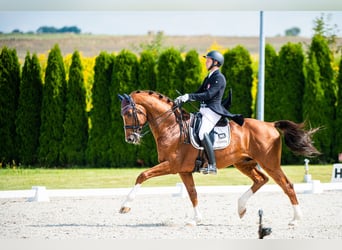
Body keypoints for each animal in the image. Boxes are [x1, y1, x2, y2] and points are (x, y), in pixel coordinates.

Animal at [118, 91, 320, 226]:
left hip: (269, 163)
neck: (172, 127)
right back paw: (241, 208)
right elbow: (192, 193)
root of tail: (270, 124)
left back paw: (295, 219)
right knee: (261, 179)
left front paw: (125, 207)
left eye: (129, 113)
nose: (130, 139)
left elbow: (142, 175)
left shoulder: (172, 165)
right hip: (243, 163)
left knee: (287, 185)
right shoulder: (183, 170)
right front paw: (196, 220)